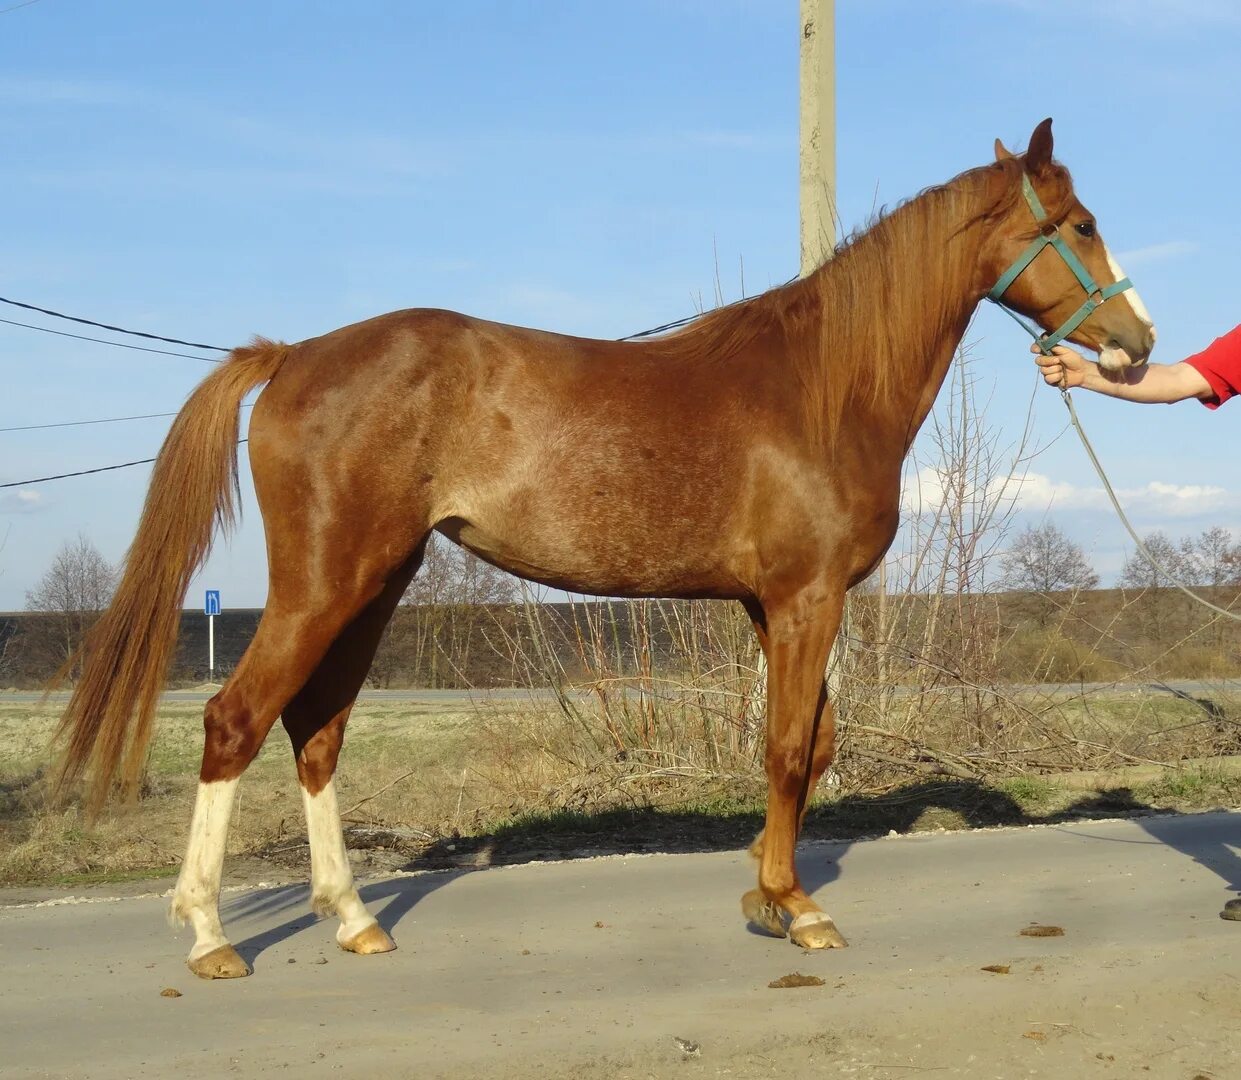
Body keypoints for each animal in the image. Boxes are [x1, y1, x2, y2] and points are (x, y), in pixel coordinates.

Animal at [50, 118, 1151, 983]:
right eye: (1081, 225)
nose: (1137, 343)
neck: (819, 387)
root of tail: (290, 358)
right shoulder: (804, 598)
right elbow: (789, 748)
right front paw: (796, 909)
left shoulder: (770, 605)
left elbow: (811, 745)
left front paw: (764, 895)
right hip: (324, 583)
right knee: (236, 722)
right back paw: (208, 935)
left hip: (375, 584)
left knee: (315, 734)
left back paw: (355, 919)